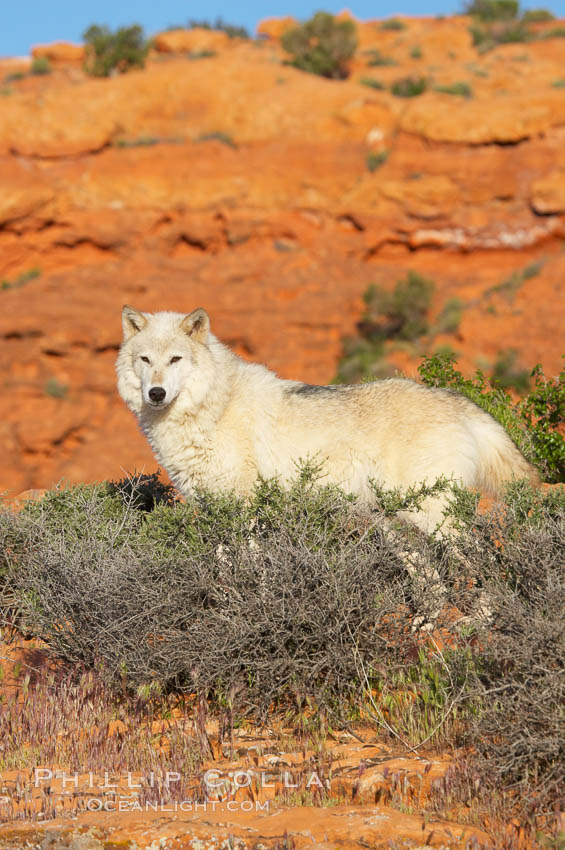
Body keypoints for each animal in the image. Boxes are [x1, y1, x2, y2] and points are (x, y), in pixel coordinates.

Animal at [115, 304, 536, 528]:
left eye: (175, 359)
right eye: (146, 360)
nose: (156, 393)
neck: (212, 406)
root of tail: (453, 398)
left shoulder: (245, 504)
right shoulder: (210, 505)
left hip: (426, 515)